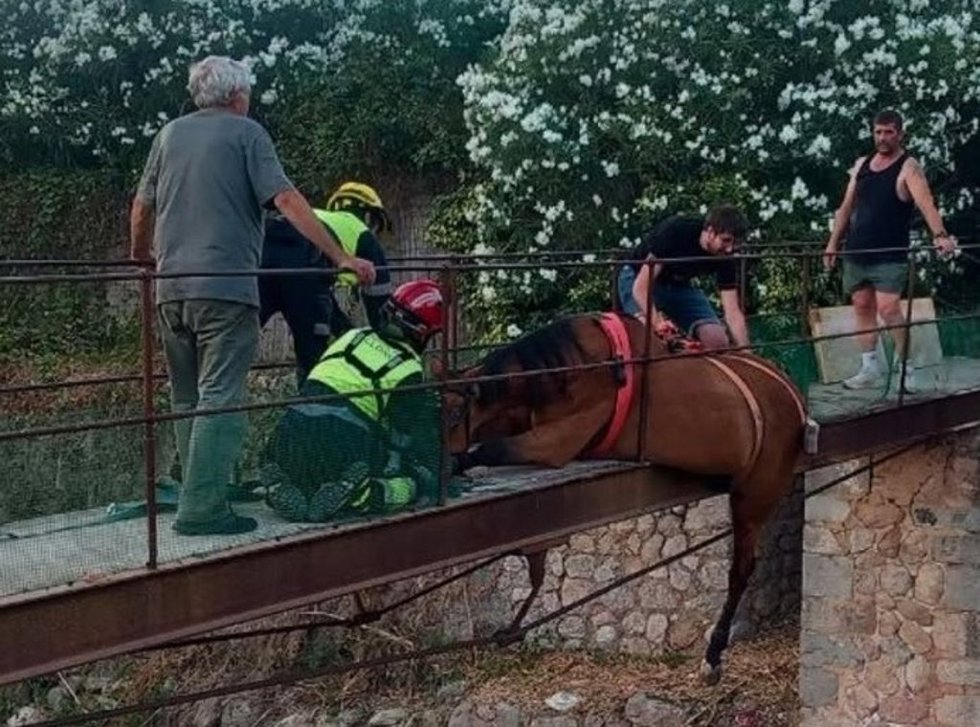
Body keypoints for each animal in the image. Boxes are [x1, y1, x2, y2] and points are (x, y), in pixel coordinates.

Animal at [443, 312, 808, 684]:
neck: (573, 366)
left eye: (456, 414)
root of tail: (790, 391)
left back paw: (713, 653)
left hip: (755, 495)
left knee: (740, 571)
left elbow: (492, 449)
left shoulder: (558, 440)